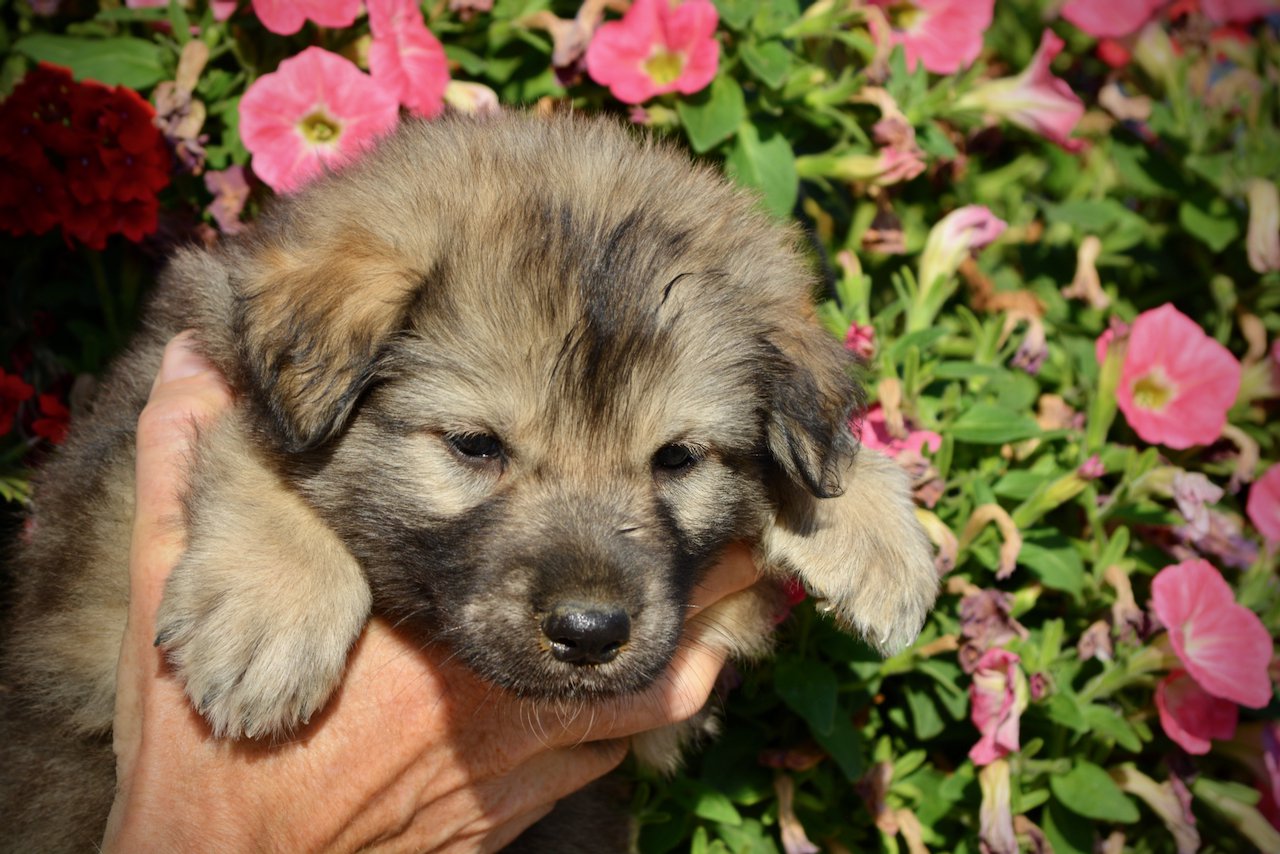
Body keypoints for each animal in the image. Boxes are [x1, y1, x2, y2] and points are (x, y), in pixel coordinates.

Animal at [2, 112, 942, 850]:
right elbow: (246, 438)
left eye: (676, 458)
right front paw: (271, 611)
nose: (591, 634)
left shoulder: (663, 705)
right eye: (475, 445)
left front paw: (871, 529)